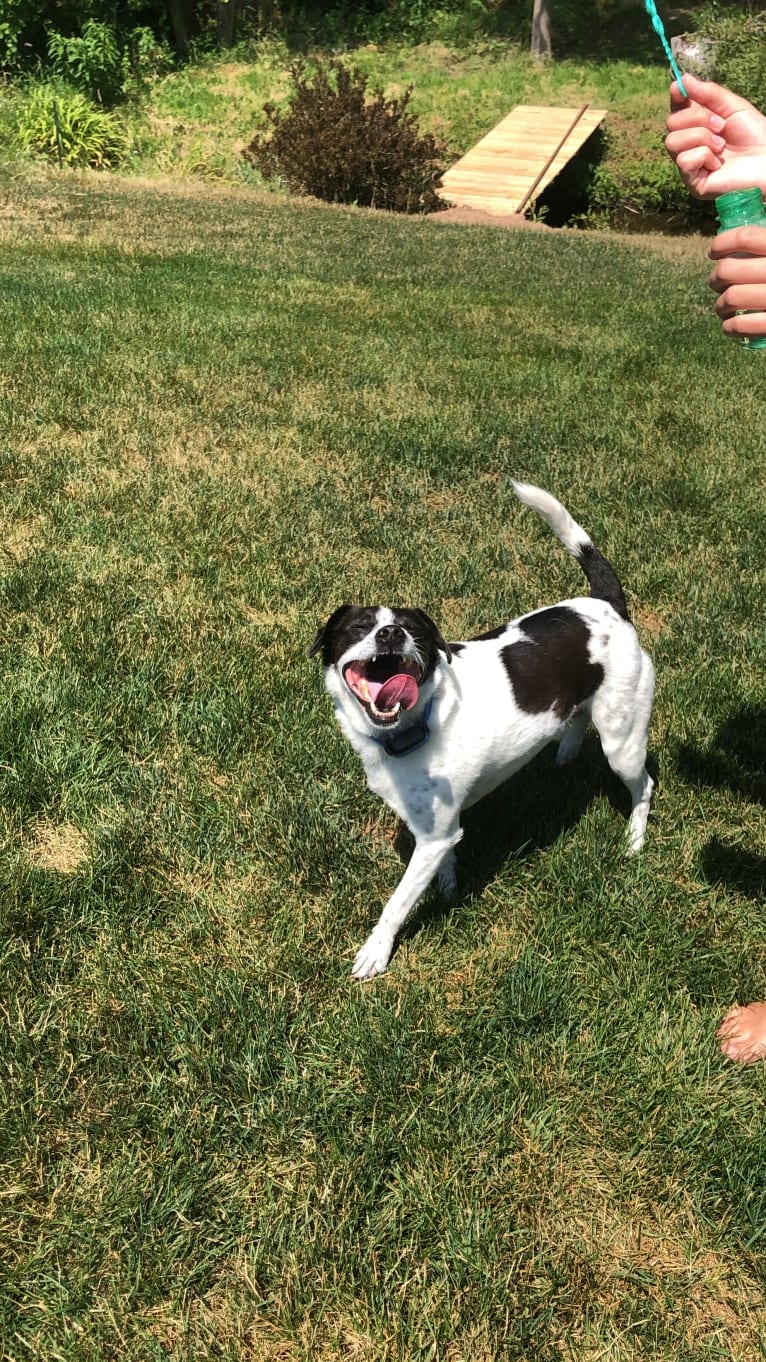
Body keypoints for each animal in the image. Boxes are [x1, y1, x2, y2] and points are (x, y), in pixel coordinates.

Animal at [306, 487, 654, 980]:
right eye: (358, 627)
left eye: (412, 631)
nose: (390, 633)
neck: (419, 723)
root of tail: (609, 605)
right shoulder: (438, 829)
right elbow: (447, 861)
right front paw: (449, 889)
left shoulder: (432, 837)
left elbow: (397, 903)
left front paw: (376, 951)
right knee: (577, 722)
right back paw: (564, 754)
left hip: (623, 742)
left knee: (644, 784)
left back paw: (634, 840)